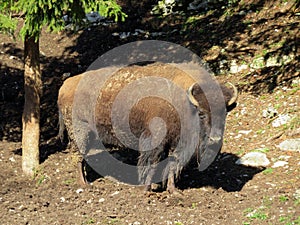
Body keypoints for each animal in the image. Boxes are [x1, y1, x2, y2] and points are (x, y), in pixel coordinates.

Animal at [57, 62, 238, 192]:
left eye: (225, 112)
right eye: (201, 113)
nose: (215, 139)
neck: (185, 102)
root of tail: (65, 85)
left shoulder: (175, 144)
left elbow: (172, 164)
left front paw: (173, 191)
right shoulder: (154, 141)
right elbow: (150, 162)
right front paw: (146, 189)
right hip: (80, 133)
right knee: (78, 158)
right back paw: (84, 185)